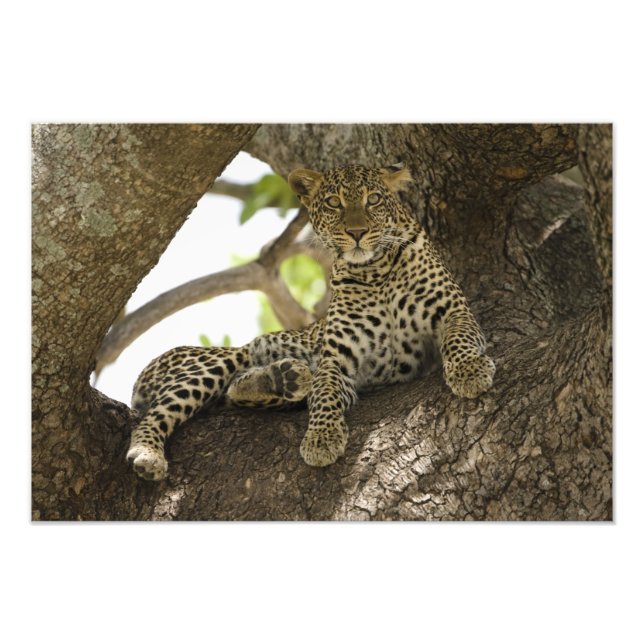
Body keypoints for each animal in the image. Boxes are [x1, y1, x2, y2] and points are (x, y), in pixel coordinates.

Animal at [126, 163, 495, 481]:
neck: (375, 273)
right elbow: (325, 392)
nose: (357, 232)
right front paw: (321, 438)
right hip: (215, 361)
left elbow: (459, 338)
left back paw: (284, 377)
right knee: (161, 412)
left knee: (236, 391)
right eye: (334, 203)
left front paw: (470, 371)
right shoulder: (337, 358)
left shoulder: (452, 310)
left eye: (373, 200)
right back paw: (148, 454)